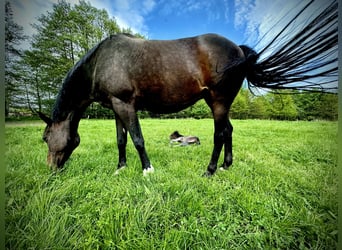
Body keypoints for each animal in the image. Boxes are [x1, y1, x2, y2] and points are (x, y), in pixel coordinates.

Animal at [38, 0, 338, 176]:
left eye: (44, 137)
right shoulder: (116, 106)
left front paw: (147, 170)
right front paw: (120, 168)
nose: (50, 169)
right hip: (219, 103)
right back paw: (226, 166)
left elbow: (137, 139)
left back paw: (210, 170)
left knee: (220, 134)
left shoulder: (126, 105)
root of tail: (239, 50)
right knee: (229, 130)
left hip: (218, 101)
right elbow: (122, 140)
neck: (102, 60)